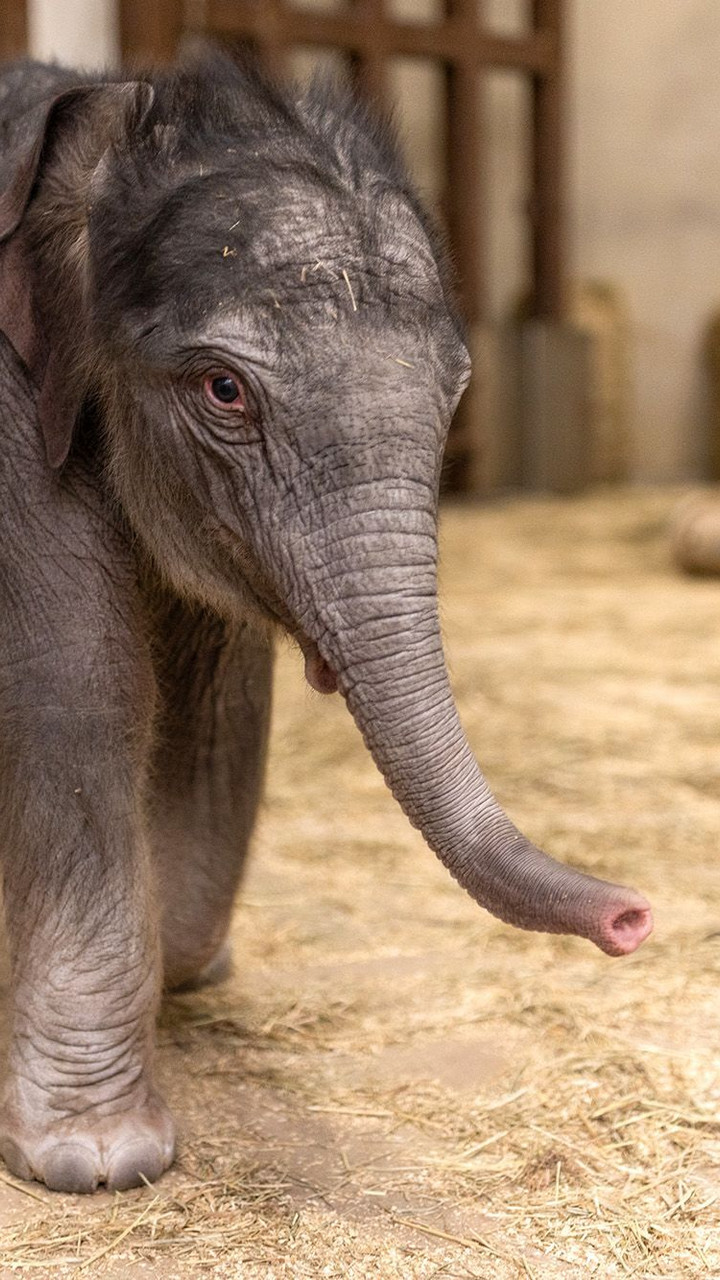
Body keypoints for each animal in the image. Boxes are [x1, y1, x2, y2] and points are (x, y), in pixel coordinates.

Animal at [0, 49, 652, 1193]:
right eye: (223, 389)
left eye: (456, 394)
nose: (632, 918)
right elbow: (79, 684)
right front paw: (97, 1161)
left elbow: (214, 706)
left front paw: (186, 970)